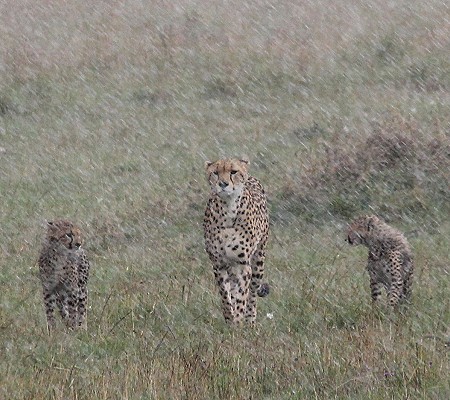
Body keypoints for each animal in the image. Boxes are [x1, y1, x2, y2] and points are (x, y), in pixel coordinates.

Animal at [205, 157, 270, 324]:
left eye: (233, 172)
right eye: (215, 173)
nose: (223, 184)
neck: (228, 208)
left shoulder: (242, 265)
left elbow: (241, 296)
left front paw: (239, 321)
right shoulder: (219, 264)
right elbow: (226, 297)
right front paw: (230, 320)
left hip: (258, 260)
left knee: (252, 292)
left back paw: (250, 320)